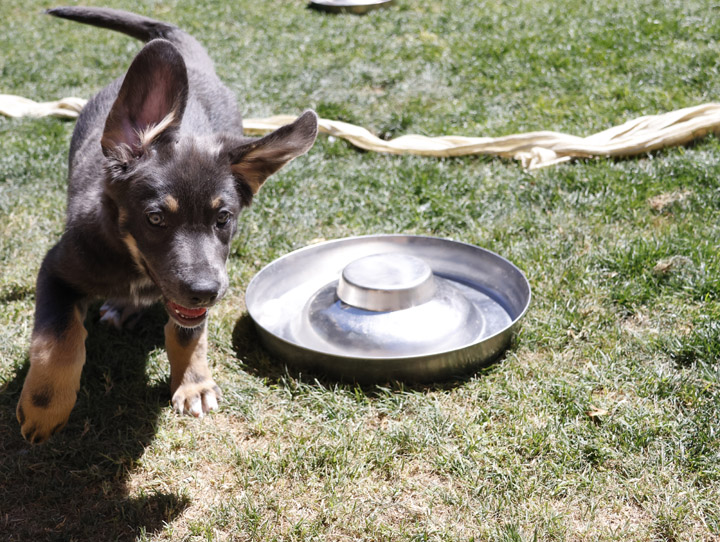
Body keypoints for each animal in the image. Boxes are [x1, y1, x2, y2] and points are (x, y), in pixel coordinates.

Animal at [16, 6, 318, 444]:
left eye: (223, 218)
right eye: (155, 218)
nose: (206, 292)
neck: (130, 260)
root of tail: (189, 59)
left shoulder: (203, 289)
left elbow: (186, 332)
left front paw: (192, 383)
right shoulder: (56, 267)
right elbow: (57, 337)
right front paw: (44, 405)